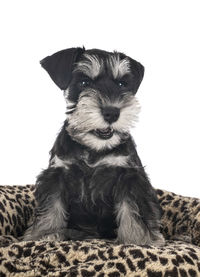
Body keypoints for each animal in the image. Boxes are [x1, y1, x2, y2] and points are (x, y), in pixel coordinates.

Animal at [23, 47, 164, 246]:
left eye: (122, 84)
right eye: (84, 82)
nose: (112, 112)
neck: (92, 148)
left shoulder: (129, 176)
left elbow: (132, 209)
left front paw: (137, 240)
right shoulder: (57, 174)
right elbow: (52, 206)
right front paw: (45, 233)